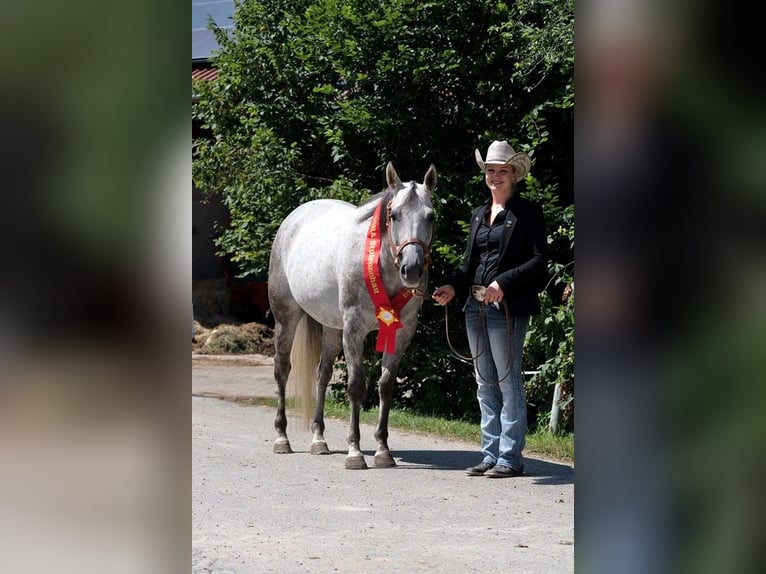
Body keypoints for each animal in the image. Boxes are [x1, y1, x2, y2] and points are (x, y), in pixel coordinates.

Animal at [268, 162, 437, 469]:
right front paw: (355, 452)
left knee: (322, 374)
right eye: (394, 215)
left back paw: (319, 440)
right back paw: (282, 438)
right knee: (282, 370)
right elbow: (357, 386)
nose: (412, 269)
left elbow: (386, 386)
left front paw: (383, 450)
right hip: (286, 318)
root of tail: (295, 217)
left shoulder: (402, 331)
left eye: (431, 217)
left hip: (332, 328)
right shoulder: (354, 328)